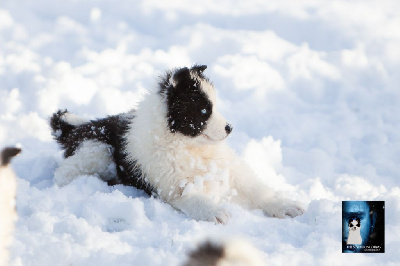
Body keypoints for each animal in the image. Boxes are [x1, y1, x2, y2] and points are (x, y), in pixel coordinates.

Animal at [51, 65, 304, 223]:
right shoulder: (174, 187)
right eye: (203, 111)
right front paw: (215, 212)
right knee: (64, 173)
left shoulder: (230, 167)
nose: (229, 128)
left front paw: (285, 205)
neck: (190, 147)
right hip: (97, 151)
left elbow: (256, 188)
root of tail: (77, 128)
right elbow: (195, 199)